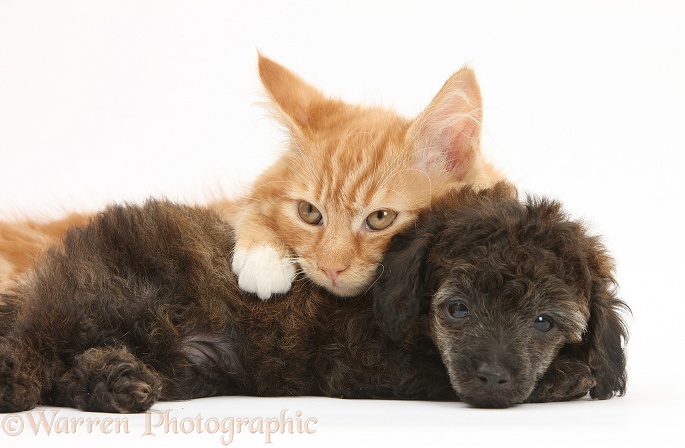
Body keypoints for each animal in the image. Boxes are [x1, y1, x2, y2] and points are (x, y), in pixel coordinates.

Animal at [0, 184, 628, 412]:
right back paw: (19, 381)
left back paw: (119, 382)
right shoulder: (363, 362)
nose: (494, 377)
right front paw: (567, 377)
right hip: (111, 296)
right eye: (458, 310)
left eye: (544, 321)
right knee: (36, 338)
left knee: (74, 368)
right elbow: (431, 372)